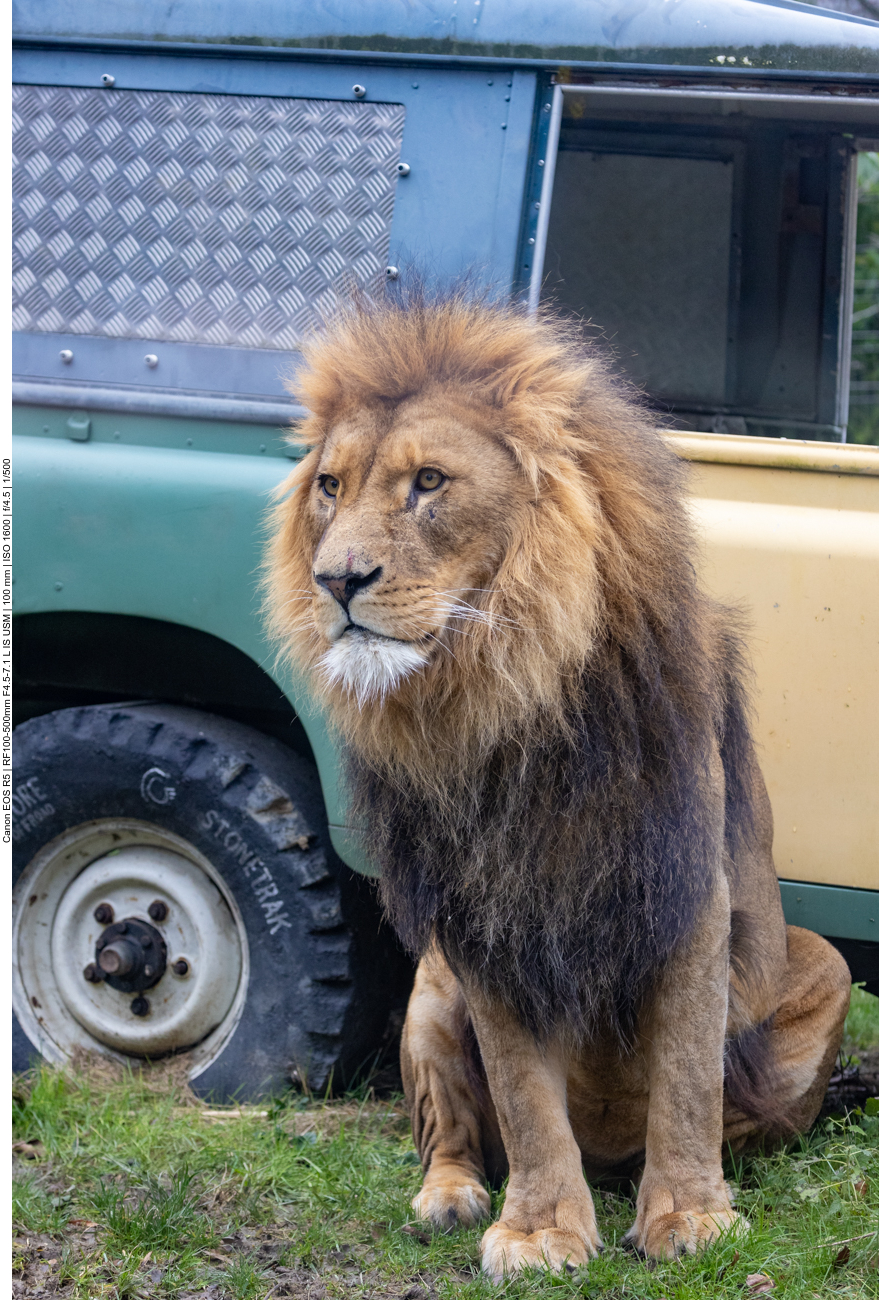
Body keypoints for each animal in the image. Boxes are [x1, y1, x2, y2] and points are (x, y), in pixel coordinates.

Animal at [266, 291, 851, 1278]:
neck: (508, 698)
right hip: (428, 995)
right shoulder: (483, 919)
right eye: (330, 488)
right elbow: (524, 1098)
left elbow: (686, 1075)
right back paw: (450, 1199)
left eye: (429, 482)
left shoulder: (684, 891)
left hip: (821, 967)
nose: (335, 580)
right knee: (449, 1135)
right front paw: (539, 1228)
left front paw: (689, 1214)